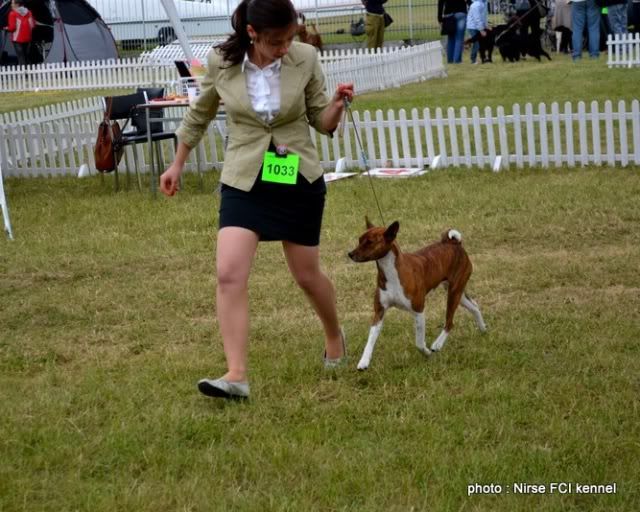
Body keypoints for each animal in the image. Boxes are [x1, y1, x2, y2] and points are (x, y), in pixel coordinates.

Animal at [348, 218, 487, 370]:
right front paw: (364, 361)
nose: (350, 254)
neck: (392, 274)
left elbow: (419, 343)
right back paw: (483, 328)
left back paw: (437, 344)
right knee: (474, 306)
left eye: (369, 242)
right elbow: (370, 340)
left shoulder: (418, 310)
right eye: (359, 240)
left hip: (453, 293)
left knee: (449, 323)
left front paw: (427, 352)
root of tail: (454, 243)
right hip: (457, 293)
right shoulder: (379, 312)